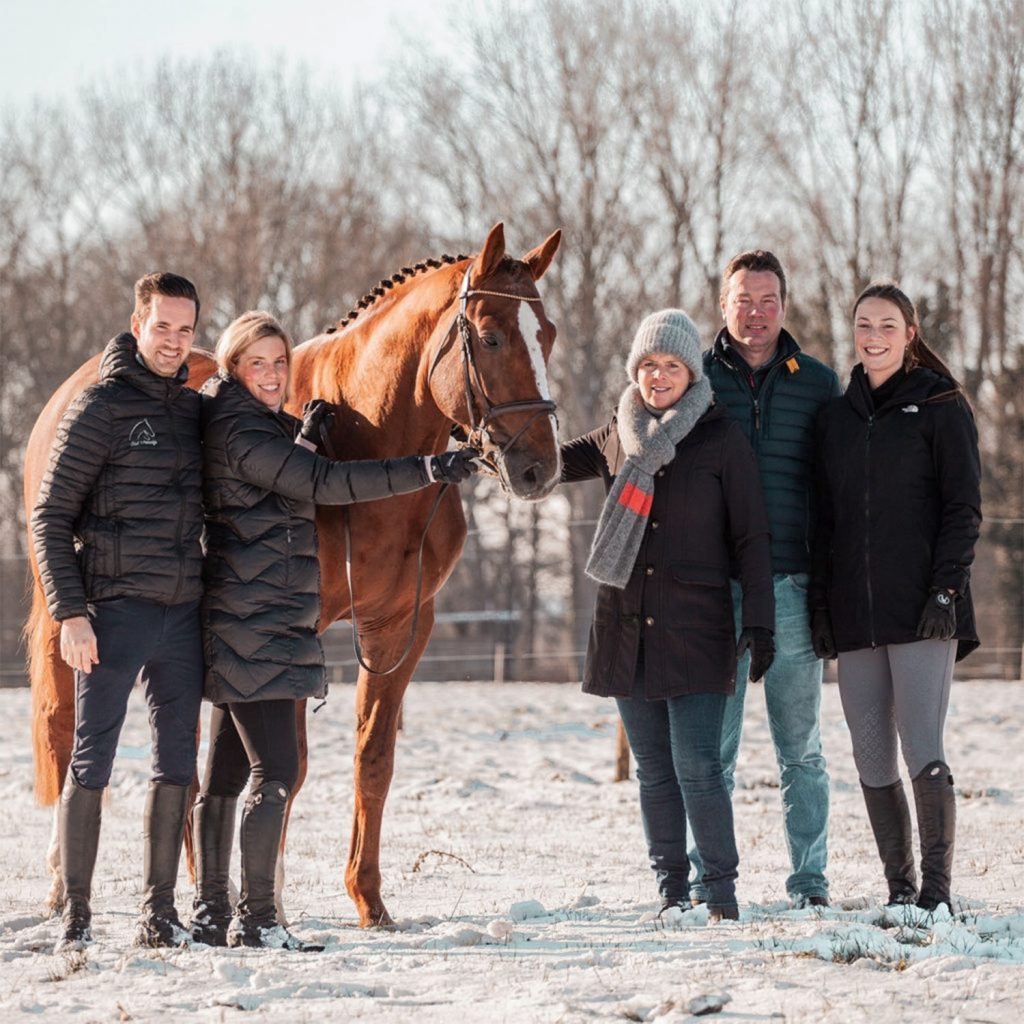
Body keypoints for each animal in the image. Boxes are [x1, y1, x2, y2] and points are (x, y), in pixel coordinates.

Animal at [24, 222, 565, 929]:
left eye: (547, 334)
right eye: (492, 336)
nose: (539, 469)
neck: (363, 436)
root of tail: (70, 391)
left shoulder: (401, 627)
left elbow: (372, 759)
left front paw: (369, 900)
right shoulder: (301, 629)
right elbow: (292, 766)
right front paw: (271, 908)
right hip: (71, 621)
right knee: (68, 732)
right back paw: (66, 887)